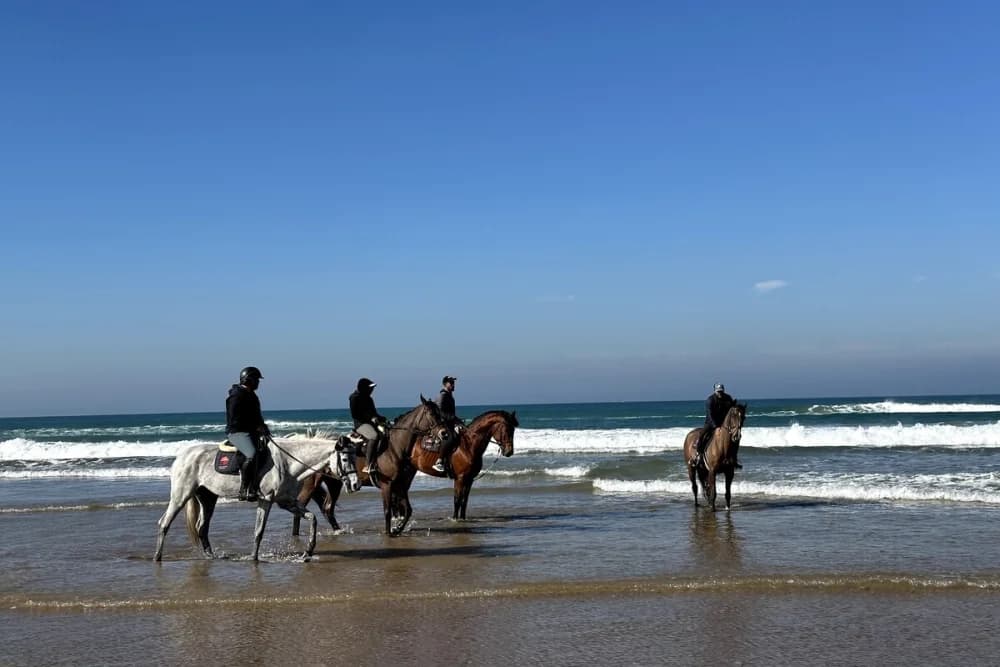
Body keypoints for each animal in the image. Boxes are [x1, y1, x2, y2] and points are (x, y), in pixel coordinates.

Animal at [153, 436, 360, 562]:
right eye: (345, 459)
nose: (356, 484)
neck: (287, 463)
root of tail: (182, 456)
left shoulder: (286, 502)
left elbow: (313, 518)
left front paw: (308, 551)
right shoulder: (265, 500)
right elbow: (259, 531)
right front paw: (253, 558)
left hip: (207, 497)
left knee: (201, 527)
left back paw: (210, 557)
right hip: (181, 495)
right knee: (164, 523)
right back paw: (157, 557)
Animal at [294, 409, 518, 531]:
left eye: (514, 429)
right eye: (507, 428)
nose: (509, 451)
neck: (468, 445)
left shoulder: (469, 479)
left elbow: (464, 502)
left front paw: (462, 520)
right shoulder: (460, 478)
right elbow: (457, 501)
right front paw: (455, 520)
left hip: (335, 483)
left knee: (327, 508)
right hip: (313, 483)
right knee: (302, 506)